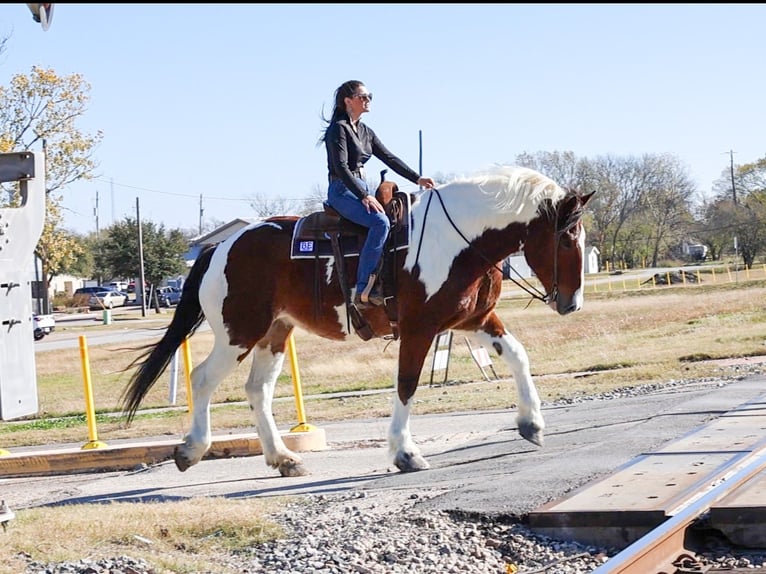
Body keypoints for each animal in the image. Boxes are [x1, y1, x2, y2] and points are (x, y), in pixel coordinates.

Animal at [121, 165, 594, 476]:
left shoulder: (475, 319)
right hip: (239, 333)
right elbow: (406, 385)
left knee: (257, 390)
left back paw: (283, 458)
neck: (457, 239)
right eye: (567, 237)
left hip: (274, 332)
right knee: (202, 379)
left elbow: (516, 355)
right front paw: (405, 453)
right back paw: (191, 450)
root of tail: (221, 246)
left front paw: (531, 423)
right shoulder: (420, 329)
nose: (572, 303)